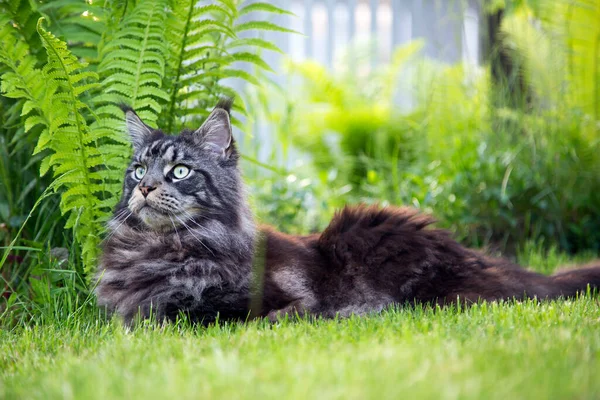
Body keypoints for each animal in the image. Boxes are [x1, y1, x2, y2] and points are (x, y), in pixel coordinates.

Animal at [96, 99, 600, 324]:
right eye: (138, 169)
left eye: (180, 171)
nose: (145, 186)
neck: (159, 249)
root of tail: (470, 255)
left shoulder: (280, 301)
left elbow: (191, 315)